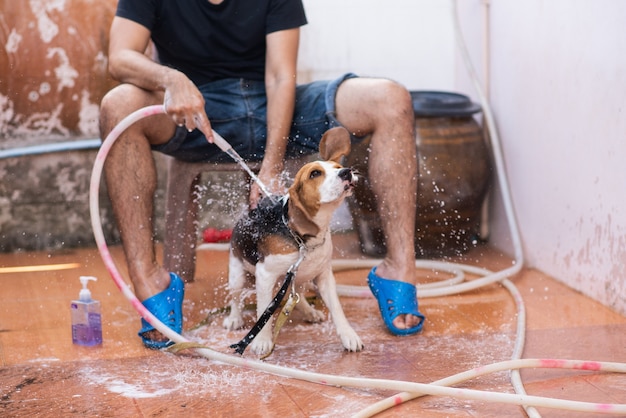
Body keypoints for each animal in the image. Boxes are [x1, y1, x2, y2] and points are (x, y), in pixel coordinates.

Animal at [223, 127, 360, 356]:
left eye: (338, 168)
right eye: (314, 174)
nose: (346, 172)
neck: (304, 241)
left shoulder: (324, 276)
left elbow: (337, 308)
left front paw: (349, 335)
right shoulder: (265, 275)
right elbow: (264, 311)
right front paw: (262, 340)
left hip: (302, 278)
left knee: (296, 296)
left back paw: (309, 311)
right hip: (237, 274)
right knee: (236, 298)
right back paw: (234, 318)